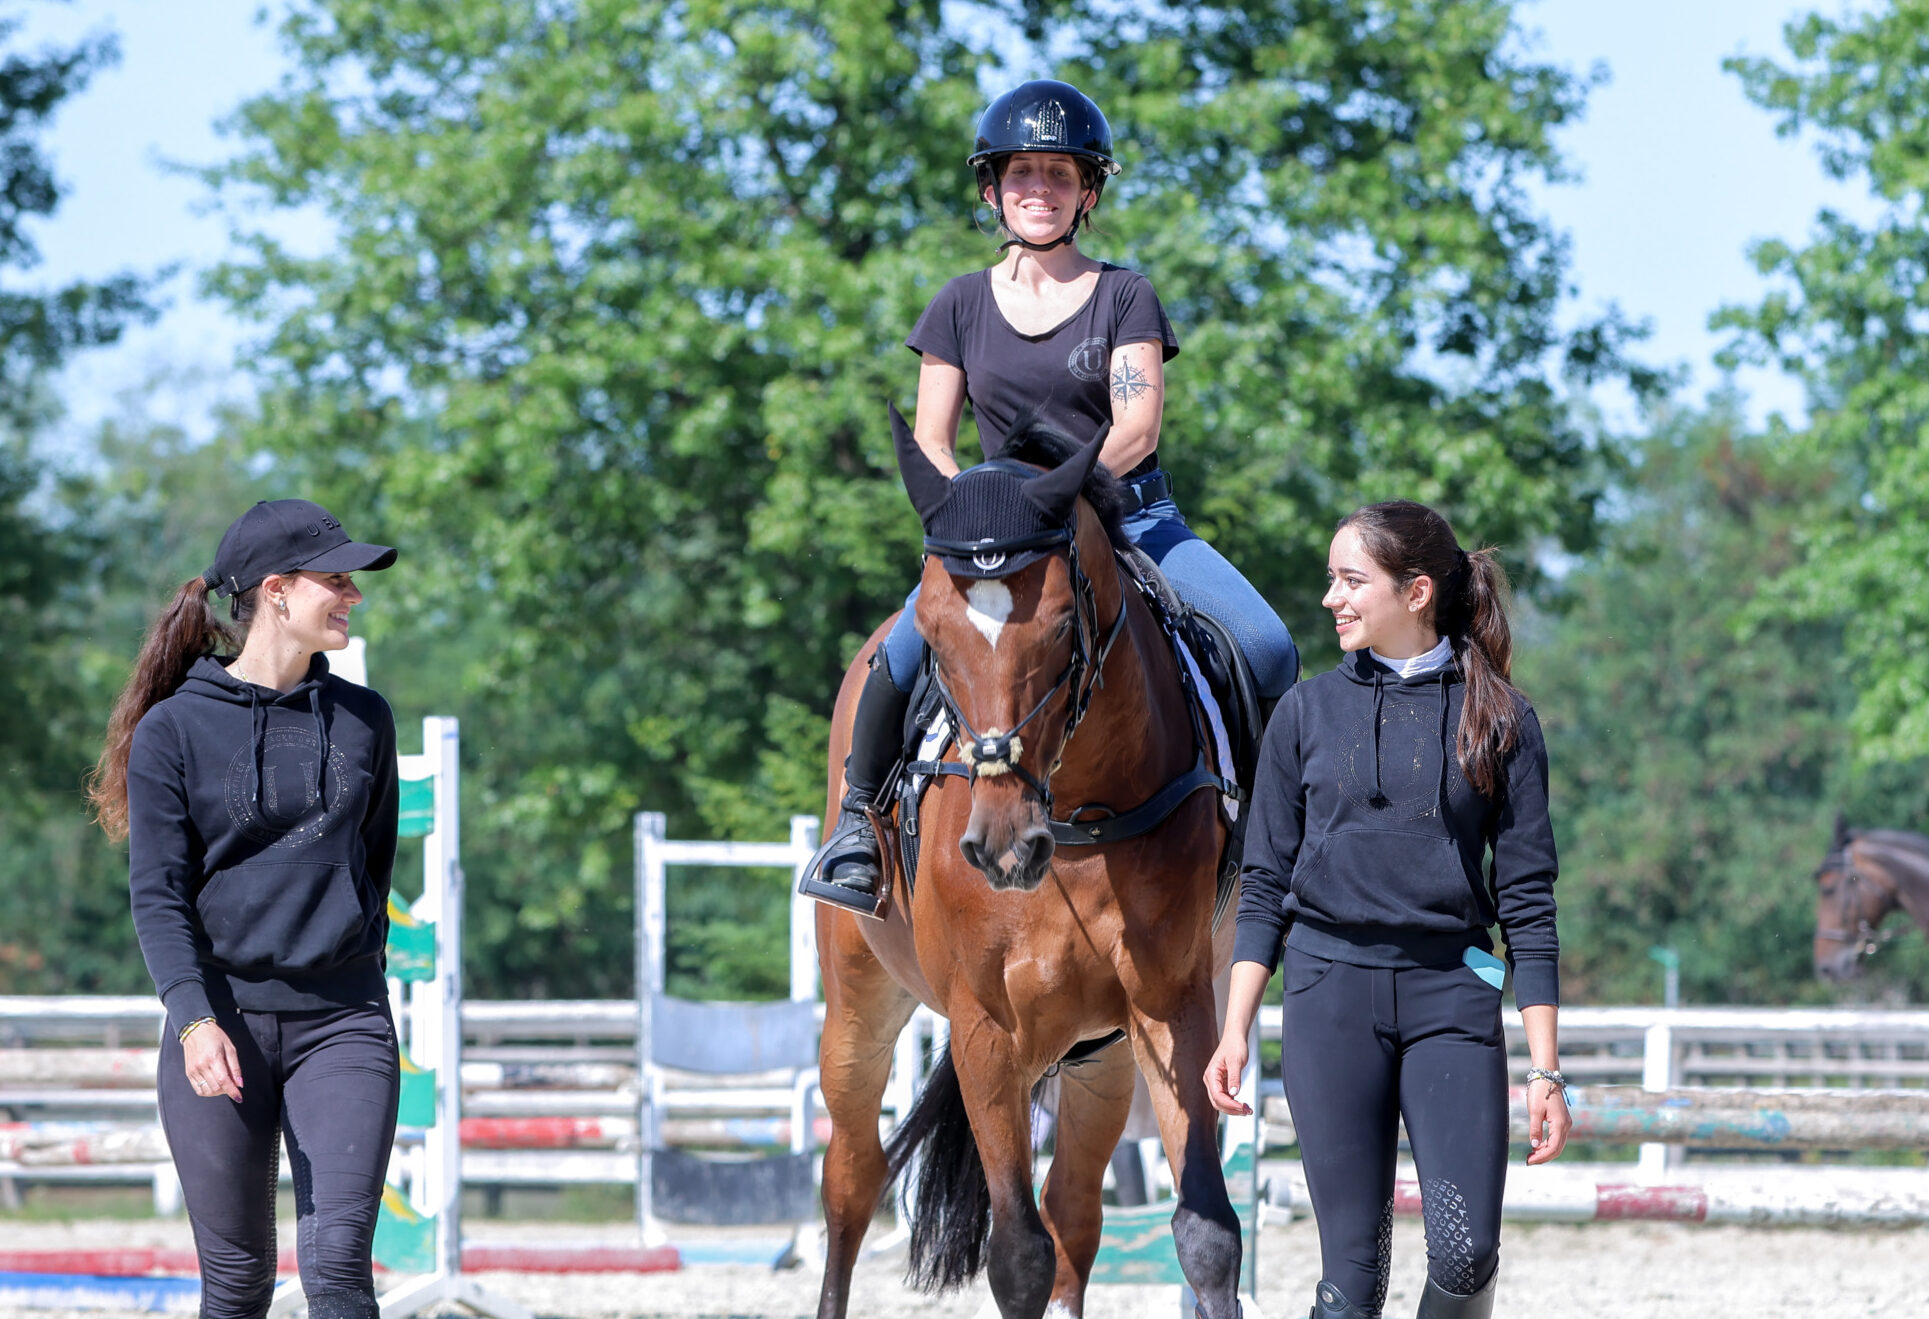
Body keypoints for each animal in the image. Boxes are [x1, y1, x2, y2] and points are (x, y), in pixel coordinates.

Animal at [806, 408, 1242, 1319]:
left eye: (1059, 628)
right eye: (935, 636)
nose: (1002, 847)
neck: (1073, 815)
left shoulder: (1171, 1004)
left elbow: (1205, 1232)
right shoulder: (983, 1027)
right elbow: (1015, 1255)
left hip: (1101, 1054)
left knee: (1072, 1211)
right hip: (858, 1003)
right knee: (851, 1182)